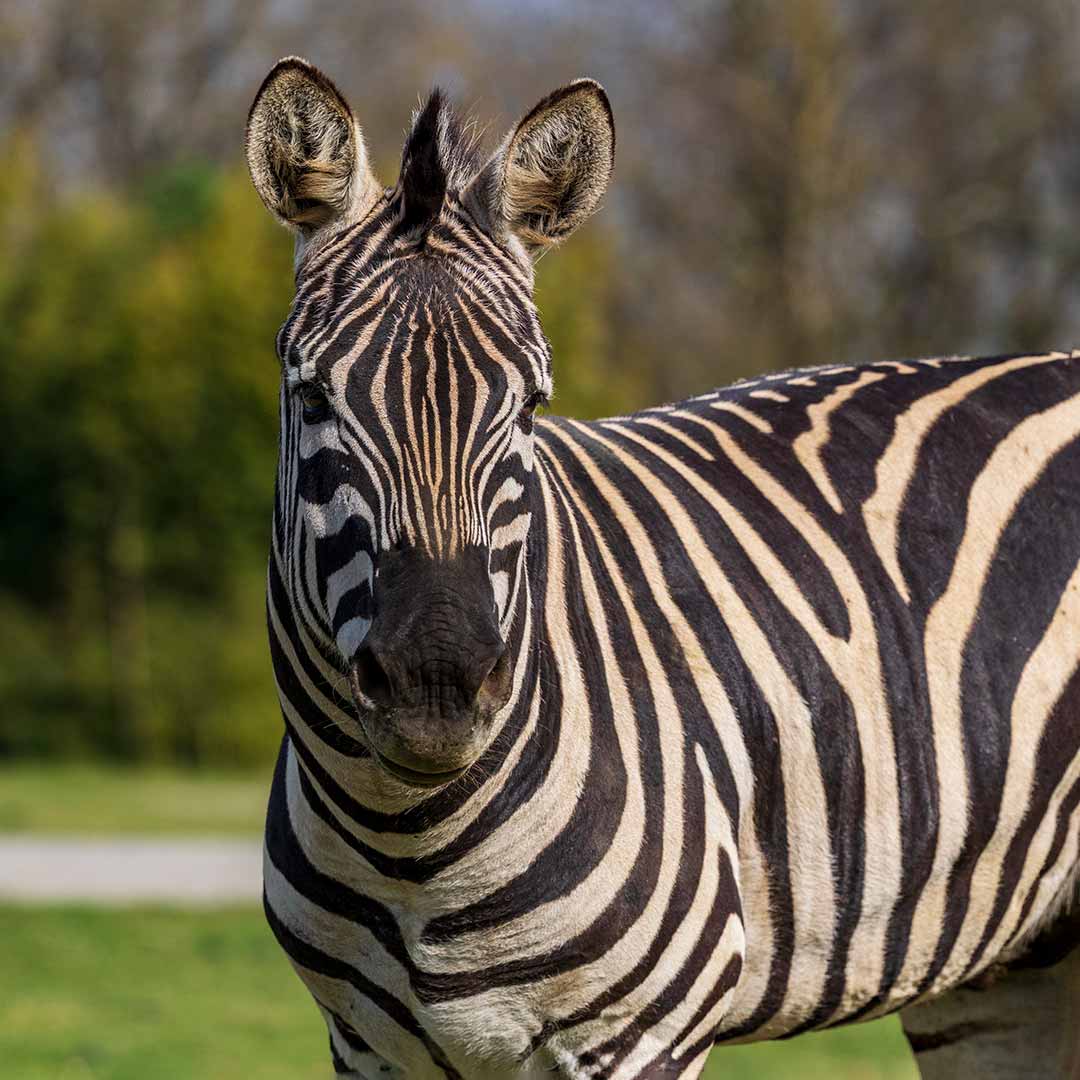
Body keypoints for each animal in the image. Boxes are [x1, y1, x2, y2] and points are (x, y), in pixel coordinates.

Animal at [244, 57, 1080, 1079]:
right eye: (315, 396)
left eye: (531, 406)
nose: (434, 688)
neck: (406, 841)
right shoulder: (368, 1047)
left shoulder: (643, 1036)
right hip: (1008, 967)